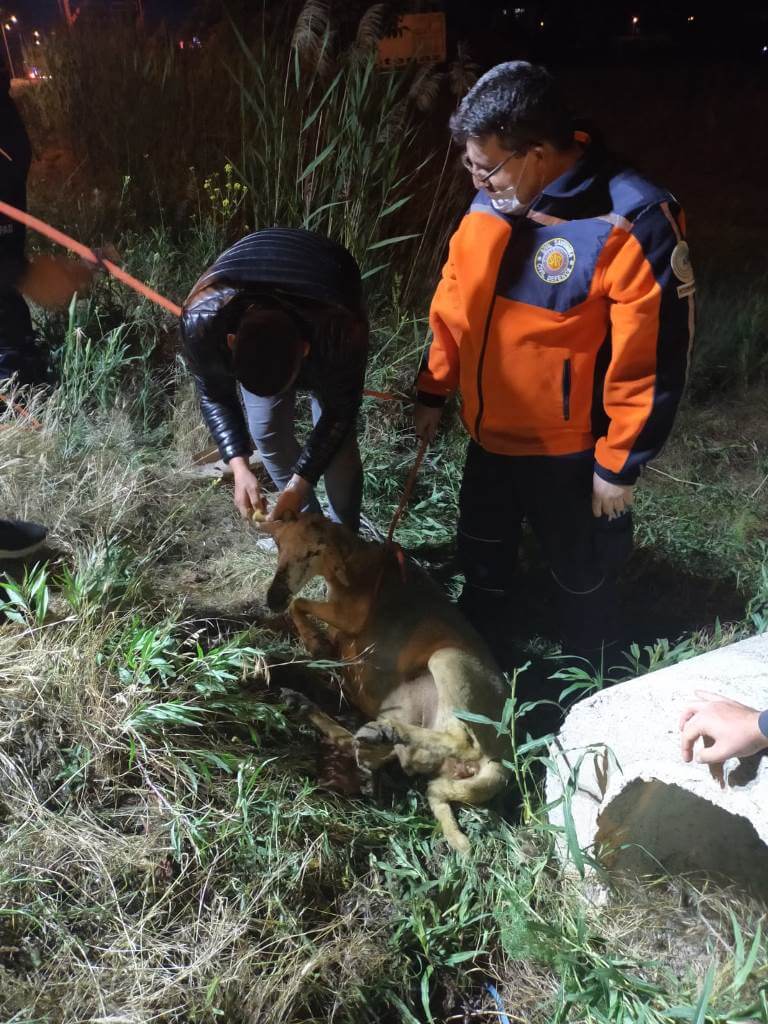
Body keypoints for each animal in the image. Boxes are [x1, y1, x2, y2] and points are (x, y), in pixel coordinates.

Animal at [260, 512, 512, 856]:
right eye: (279, 545)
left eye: (312, 552)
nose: (273, 598)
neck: (361, 566)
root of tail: (505, 758)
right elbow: (300, 608)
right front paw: (316, 645)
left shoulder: (348, 615)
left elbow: (299, 603)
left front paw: (314, 641)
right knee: (374, 752)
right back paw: (308, 708)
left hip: (447, 664)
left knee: (462, 741)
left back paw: (378, 732)